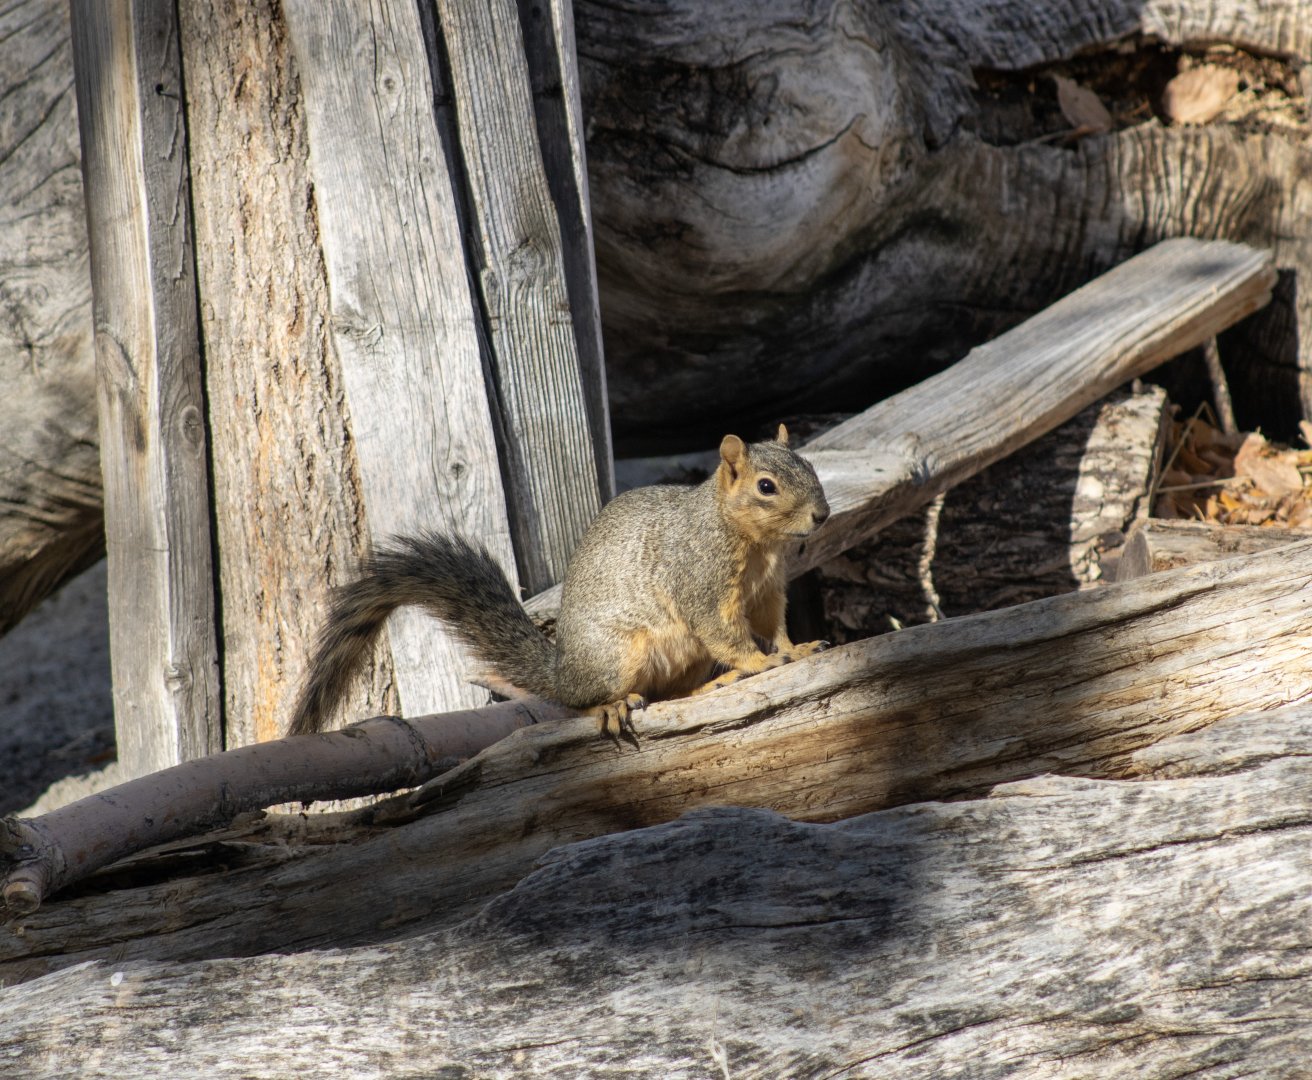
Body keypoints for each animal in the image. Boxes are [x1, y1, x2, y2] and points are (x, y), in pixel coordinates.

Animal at [288, 424, 831, 739]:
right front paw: (760, 661)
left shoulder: (767, 589)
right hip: (618, 654)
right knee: (579, 703)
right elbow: (726, 633)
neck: (755, 544)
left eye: (810, 466)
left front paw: (796, 649)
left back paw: (713, 684)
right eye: (766, 487)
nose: (822, 516)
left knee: (672, 695)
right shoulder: (701, 582)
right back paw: (613, 705)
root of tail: (563, 669)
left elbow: (774, 624)